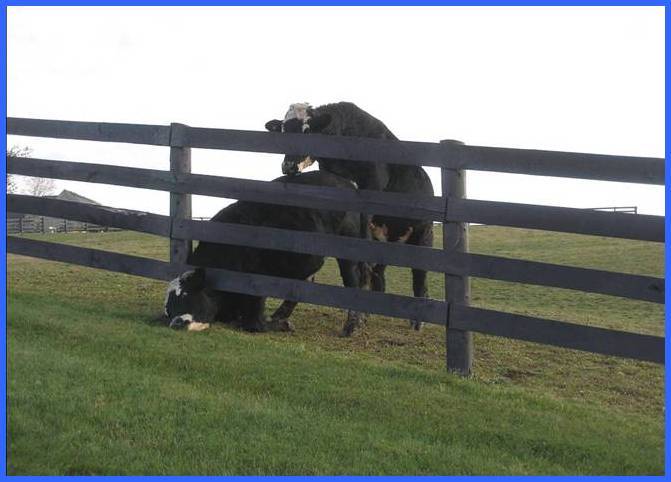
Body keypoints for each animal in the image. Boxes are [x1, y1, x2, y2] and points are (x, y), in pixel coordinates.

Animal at [164, 170, 368, 335]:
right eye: (168, 311)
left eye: (186, 294)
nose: (176, 322)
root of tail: (345, 182)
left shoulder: (257, 283)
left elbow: (254, 324)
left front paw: (282, 325)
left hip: (348, 247)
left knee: (352, 281)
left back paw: (350, 326)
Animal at [265, 102, 434, 330]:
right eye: (282, 131)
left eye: (307, 130)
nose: (288, 166)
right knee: (379, 274)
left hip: (423, 234)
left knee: (419, 277)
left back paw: (417, 321)